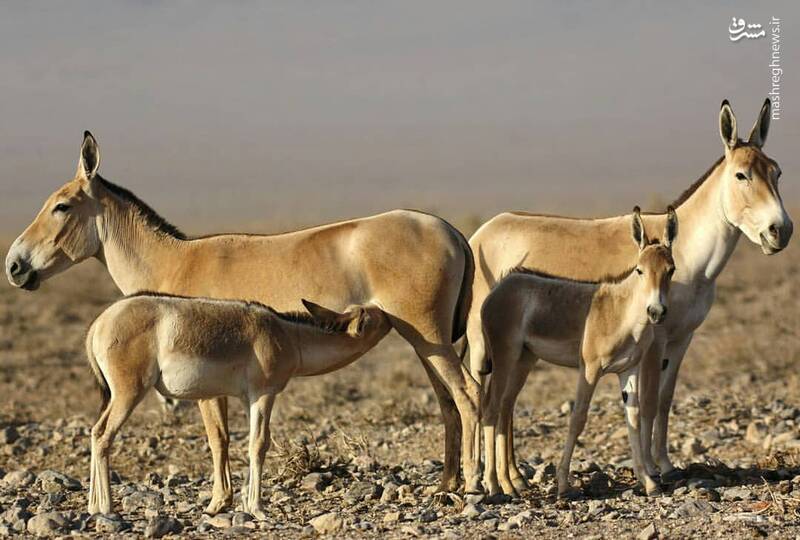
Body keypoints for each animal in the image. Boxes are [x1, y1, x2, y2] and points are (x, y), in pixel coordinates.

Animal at [85, 294, 390, 516]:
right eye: (373, 316)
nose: (387, 312)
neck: (289, 337)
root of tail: (98, 324)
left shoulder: (247, 399)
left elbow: (245, 442)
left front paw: (242, 502)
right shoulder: (264, 394)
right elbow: (259, 444)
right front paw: (257, 508)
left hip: (116, 396)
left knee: (94, 431)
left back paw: (93, 506)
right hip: (129, 393)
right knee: (103, 436)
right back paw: (107, 508)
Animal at [482, 207, 676, 498]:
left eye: (670, 270)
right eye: (640, 270)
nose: (656, 312)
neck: (623, 314)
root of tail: (501, 286)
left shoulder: (628, 369)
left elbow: (633, 419)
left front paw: (649, 482)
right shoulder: (590, 369)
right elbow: (577, 419)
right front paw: (563, 483)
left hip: (524, 359)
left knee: (505, 408)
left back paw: (510, 483)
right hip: (504, 356)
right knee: (491, 410)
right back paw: (494, 485)